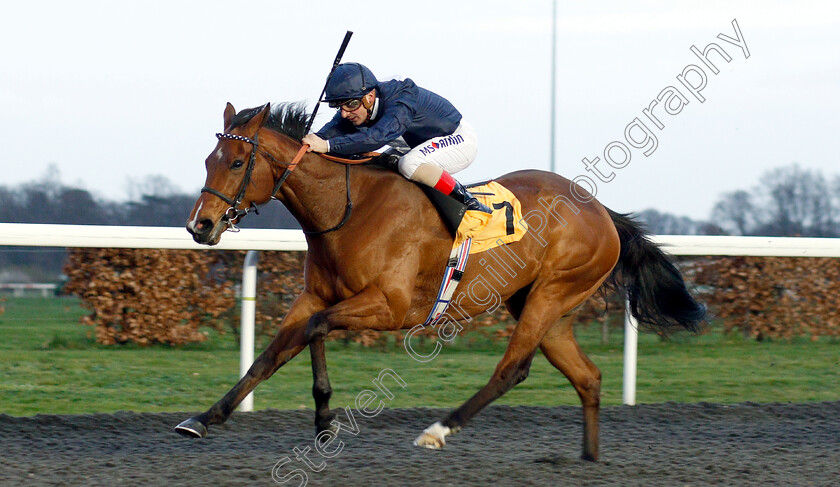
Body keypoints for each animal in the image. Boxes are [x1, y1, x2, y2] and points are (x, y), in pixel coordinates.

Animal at [180, 103, 704, 462]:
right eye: (208, 160)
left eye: (235, 163)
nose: (199, 226)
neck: (347, 209)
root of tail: (602, 212)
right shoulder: (315, 296)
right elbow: (271, 356)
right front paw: (203, 419)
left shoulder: (388, 305)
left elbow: (315, 330)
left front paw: (325, 423)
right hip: (547, 307)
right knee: (587, 377)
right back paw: (589, 458)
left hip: (551, 294)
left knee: (512, 370)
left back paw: (438, 430)